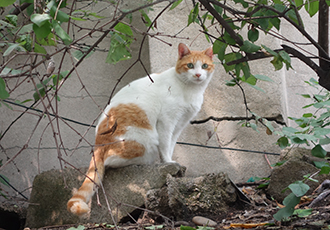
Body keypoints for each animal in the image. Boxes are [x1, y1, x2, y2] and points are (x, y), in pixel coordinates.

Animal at [67, 42, 214, 216]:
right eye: (190, 65)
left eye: (204, 66)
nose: (198, 74)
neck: (190, 90)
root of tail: (97, 143)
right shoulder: (166, 121)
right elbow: (165, 145)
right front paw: (168, 162)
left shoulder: (179, 125)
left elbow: (171, 145)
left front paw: (170, 161)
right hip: (145, 141)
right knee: (111, 160)